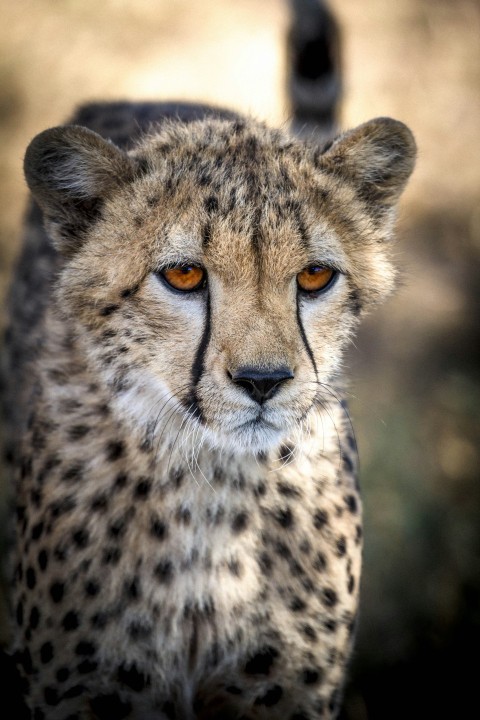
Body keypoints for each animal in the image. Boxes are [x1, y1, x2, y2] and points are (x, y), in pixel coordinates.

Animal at [1, 2, 416, 719]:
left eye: (314, 276)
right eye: (185, 275)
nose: (263, 381)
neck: (210, 489)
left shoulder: (287, 692)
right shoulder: (88, 690)